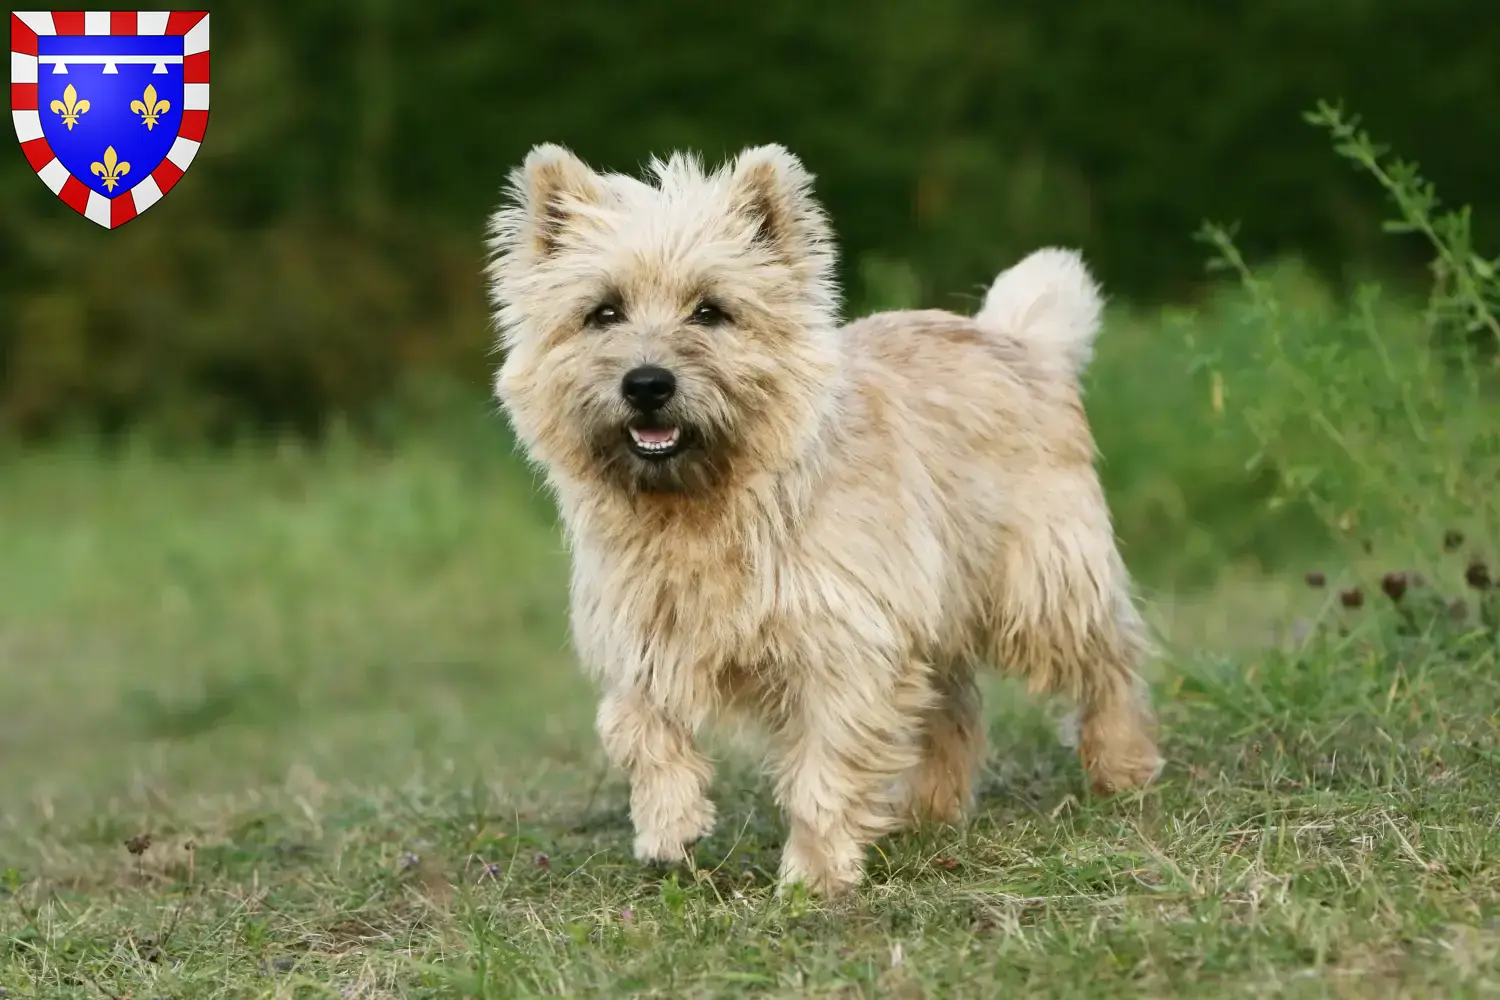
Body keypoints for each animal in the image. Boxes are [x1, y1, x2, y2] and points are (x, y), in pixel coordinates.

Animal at [486, 142, 1164, 899]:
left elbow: (824, 770)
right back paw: (928, 810)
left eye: (710, 311)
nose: (647, 383)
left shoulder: (845, 645)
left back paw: (1124, 765)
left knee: (1108, 659)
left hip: (1042, 583)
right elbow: (635, 725)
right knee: (953, 706)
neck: (703, 506)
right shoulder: (644, 634)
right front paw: (669, 824)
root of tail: (1018, 339)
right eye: (603, 312)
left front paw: (813, 875)